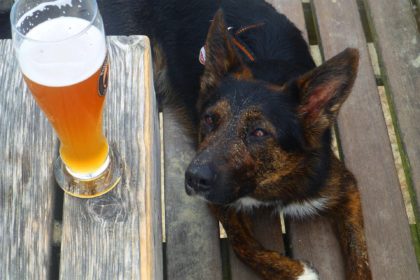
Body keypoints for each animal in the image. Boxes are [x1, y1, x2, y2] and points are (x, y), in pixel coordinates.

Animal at [140, 1, 370, 278]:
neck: (265, 183)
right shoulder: (221, 201)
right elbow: (243, 245)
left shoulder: (343, 187)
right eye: (209, 119)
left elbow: (360, 257)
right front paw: (297, 272)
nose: (193, 179)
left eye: (259, 132)